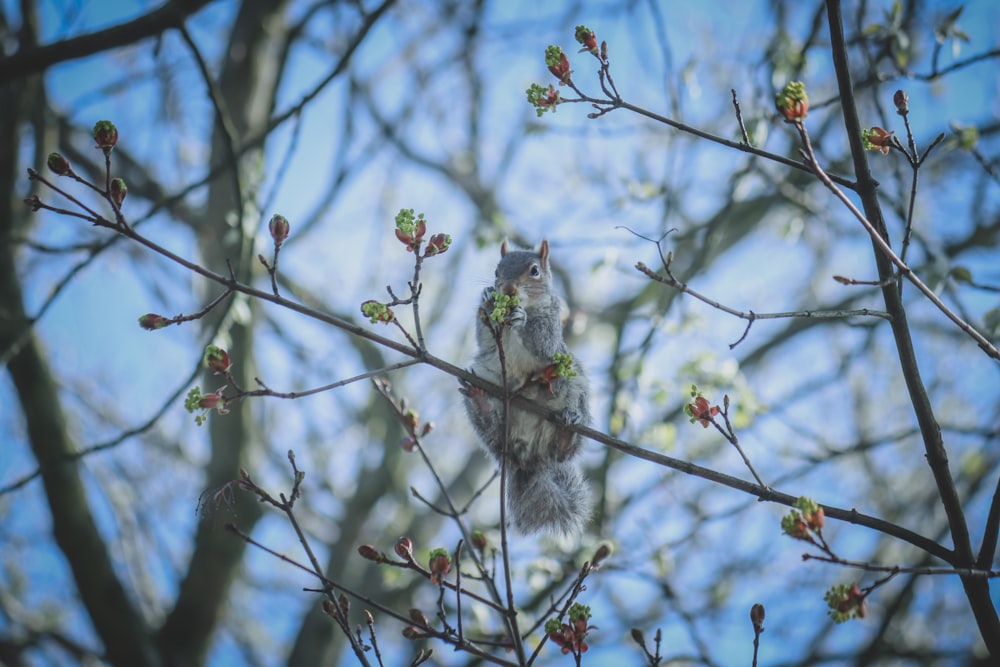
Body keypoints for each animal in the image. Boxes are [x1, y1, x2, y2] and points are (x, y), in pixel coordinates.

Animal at [462, 237, 592, 536]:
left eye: (534, 271)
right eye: (496, 271)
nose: (507, 288)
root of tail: (528, 458)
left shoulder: (552, 325)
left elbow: (542, 342)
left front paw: (522, 319)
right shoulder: (487, 344)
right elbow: (484, 335)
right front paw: (487, 299)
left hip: (575, 384)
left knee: (561, 453)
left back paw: (566, 433)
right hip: (487, 379)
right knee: (492, 432)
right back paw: (480, 401)